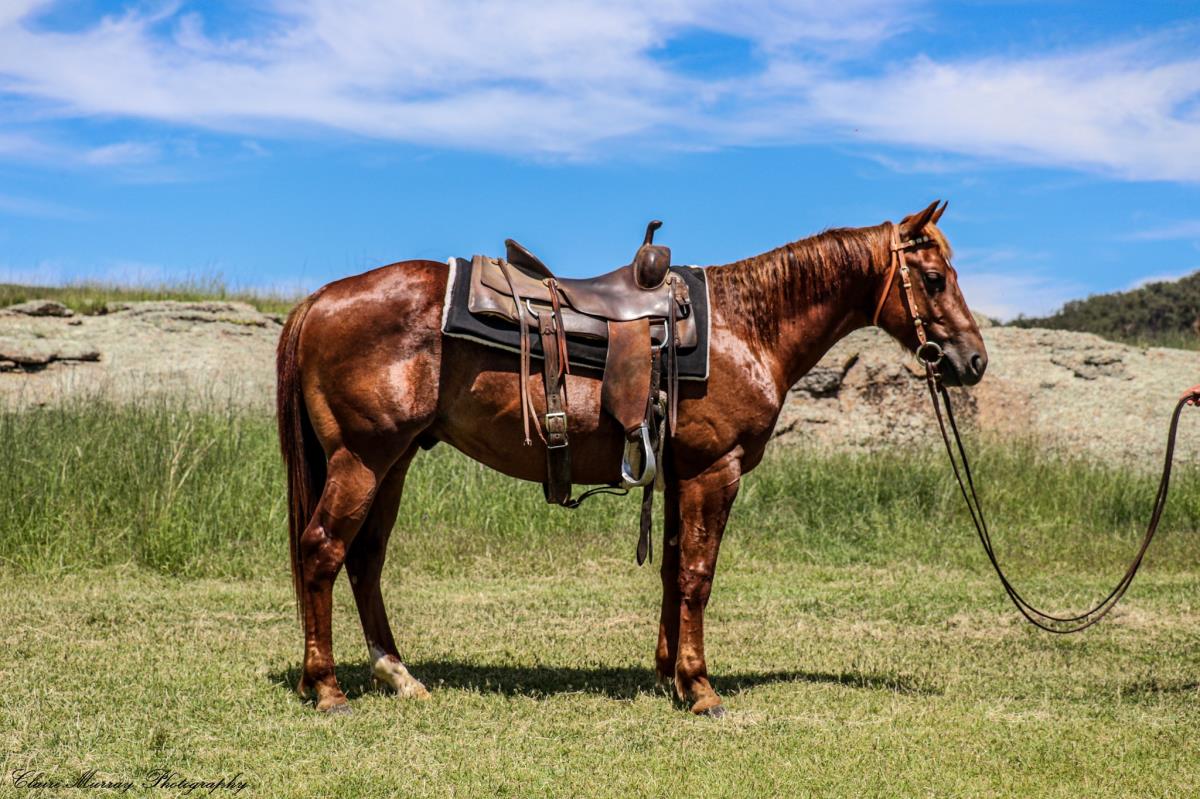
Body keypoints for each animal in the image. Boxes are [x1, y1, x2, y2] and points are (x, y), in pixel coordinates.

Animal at [276, 200, 988, 717]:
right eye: (933, 278)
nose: (973, 361)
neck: (746, 326)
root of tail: (319, 300)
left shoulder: (678, 475)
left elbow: (673, 570)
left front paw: (670, 674)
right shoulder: (713, 470)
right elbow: (698, 575)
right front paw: (701, 689)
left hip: (392, 462)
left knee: (365, 560)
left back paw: (397, 674)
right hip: (362, 459)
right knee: (322, 550)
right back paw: (327, 688)